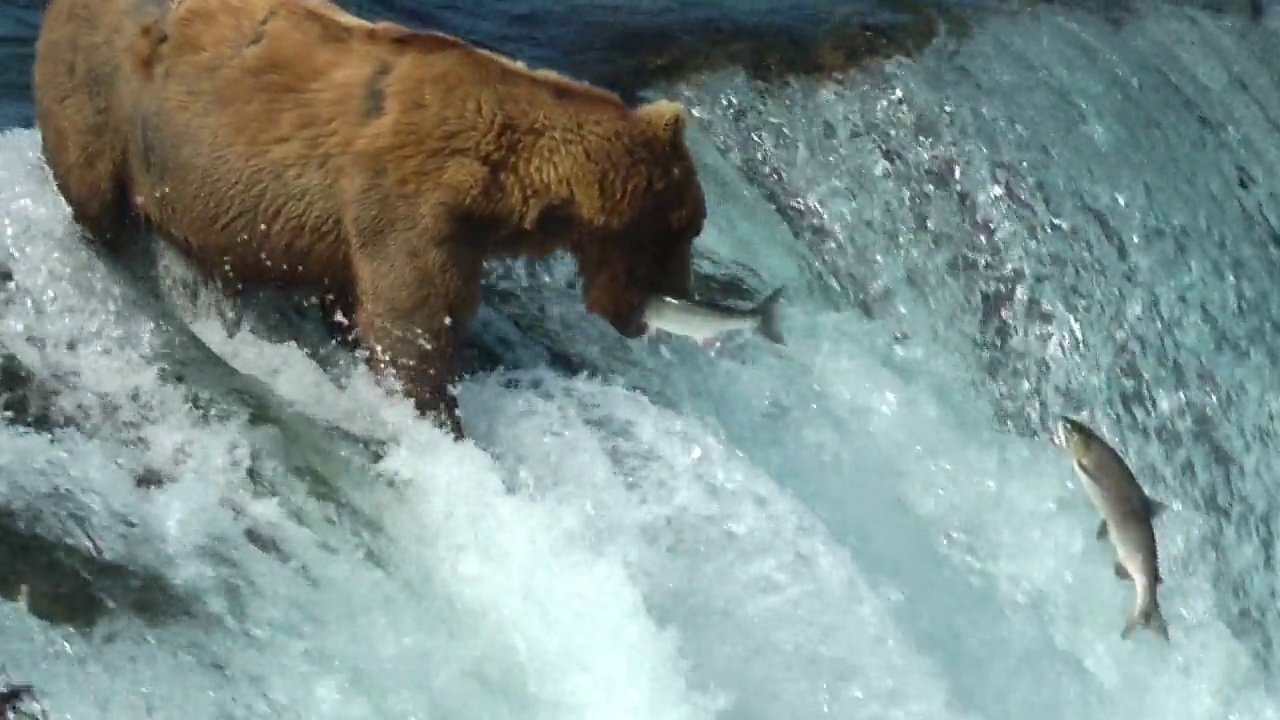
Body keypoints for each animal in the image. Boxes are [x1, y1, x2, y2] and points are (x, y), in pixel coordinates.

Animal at [32, 0, 711, 438]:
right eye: (687, 229)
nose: (677, 297)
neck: (507, 179)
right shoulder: (405, 202)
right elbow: (411, 324)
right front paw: (437, 413)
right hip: (105, 100)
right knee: (96, 197)